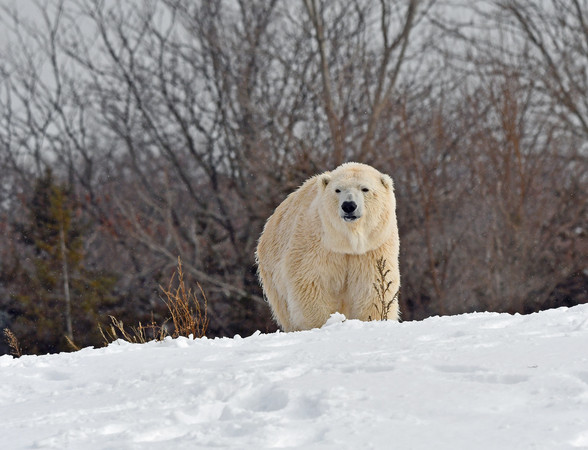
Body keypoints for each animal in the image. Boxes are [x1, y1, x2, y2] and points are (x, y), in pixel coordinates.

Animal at [258, 162, 400, 330]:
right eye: (337, 190)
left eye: (365, 189)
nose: (349, 205)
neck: (347, 242)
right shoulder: (317, 245)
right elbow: (310, 283)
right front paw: (322, 324)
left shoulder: (372, 248)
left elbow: (371, 285)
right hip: (273, 275)